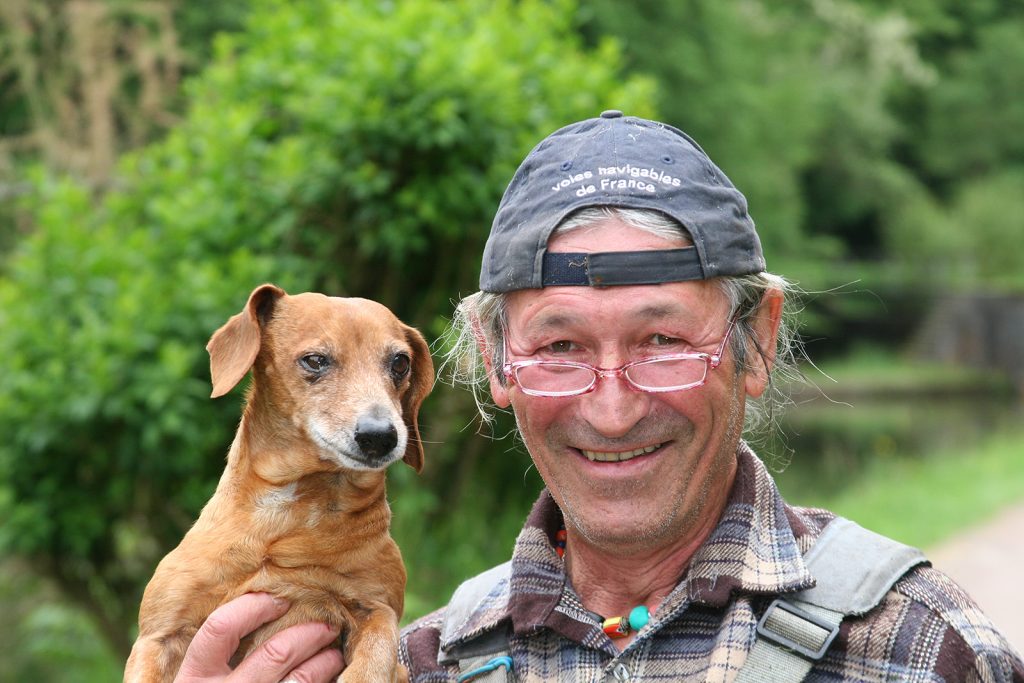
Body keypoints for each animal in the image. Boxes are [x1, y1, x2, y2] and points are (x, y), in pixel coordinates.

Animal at [123, 280, 432, 679]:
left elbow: (375, 658)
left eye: (400, 363)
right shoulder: (158, 636)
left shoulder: (378, 608)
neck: (293, 518)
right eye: (315, 360)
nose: (380, 436)